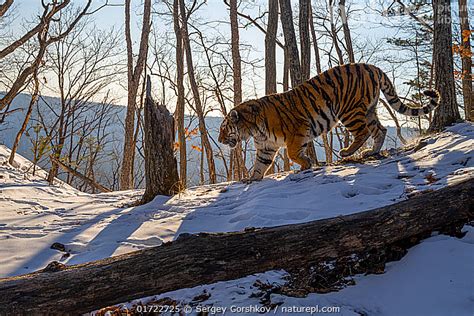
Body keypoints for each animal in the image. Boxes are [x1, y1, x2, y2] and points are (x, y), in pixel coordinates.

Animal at [218, 63, 440, 181]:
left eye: (224, 129)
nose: (219, 140)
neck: (253, 129)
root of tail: (373, 67)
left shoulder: (297, 130)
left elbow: (292, 153)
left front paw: (306, 164)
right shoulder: (267, 146)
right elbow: (260, 165)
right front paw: (251, 179)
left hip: (348, 110)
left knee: (363, 132)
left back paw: (348, 152)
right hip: (369, 110)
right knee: (381, 130)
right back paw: (371, 152)